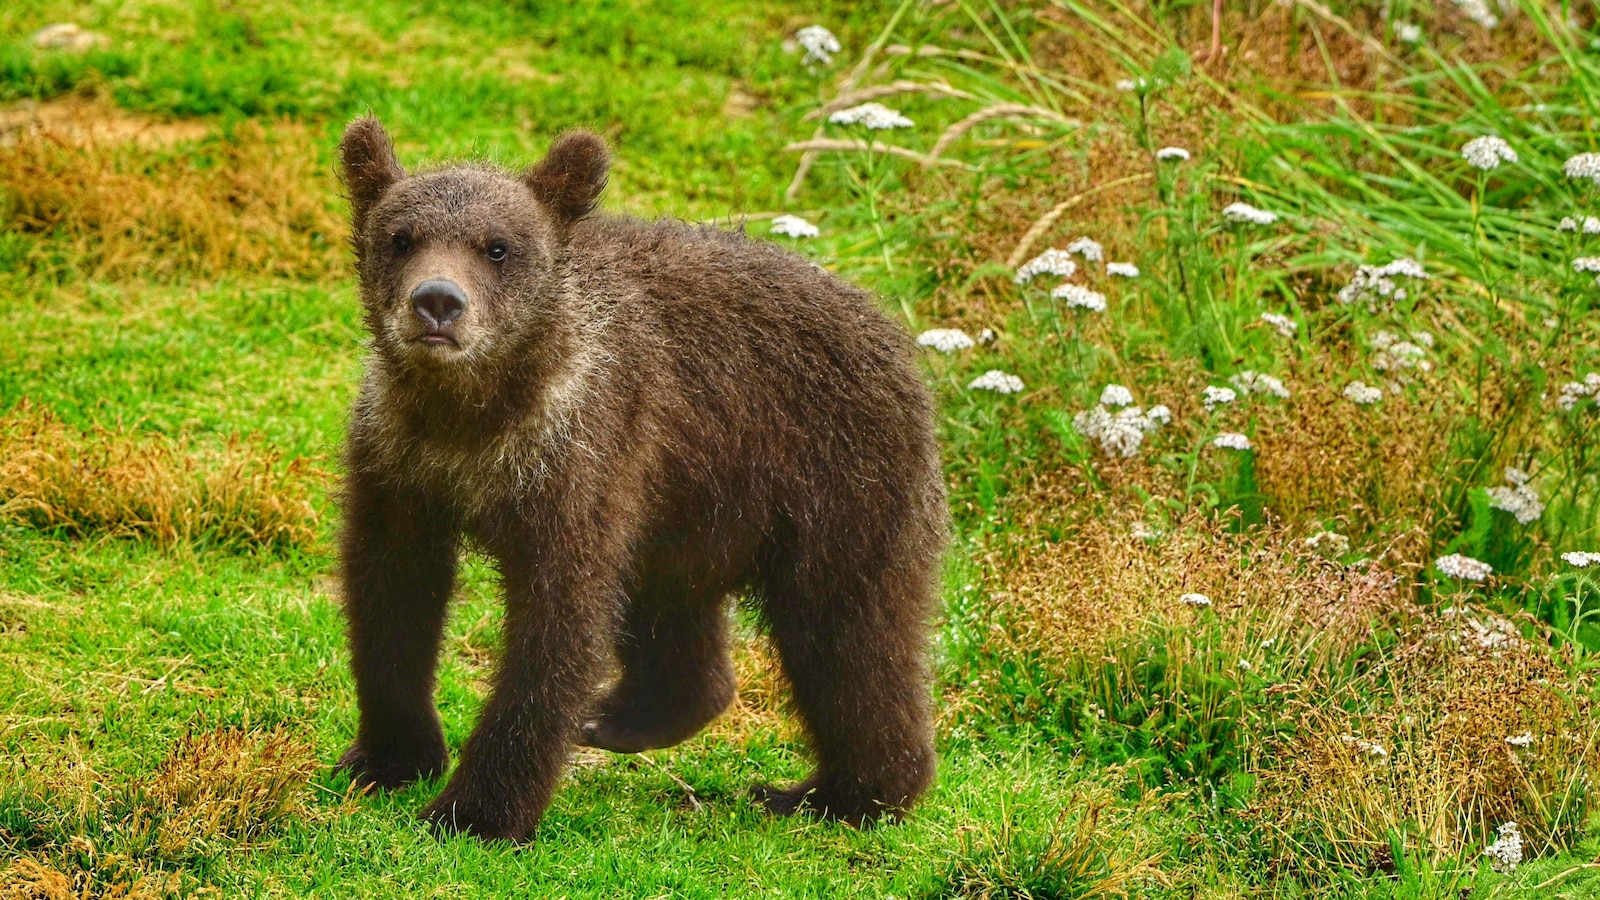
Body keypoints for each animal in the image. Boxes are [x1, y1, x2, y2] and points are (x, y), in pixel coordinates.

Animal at [333, 114, 947, 842]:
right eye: (400, 237)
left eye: (497, 247)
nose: (436, 303)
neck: (471, 415)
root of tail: (900, 342)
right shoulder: (399, 465)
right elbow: (391, 598)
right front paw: (388, 757)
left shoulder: (578, 461)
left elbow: (556, 627)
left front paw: (476, 811)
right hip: (691, 503)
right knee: (674, 607)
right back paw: (625, 718)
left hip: (835, 485)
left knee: (848, 637)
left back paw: (839, 793)